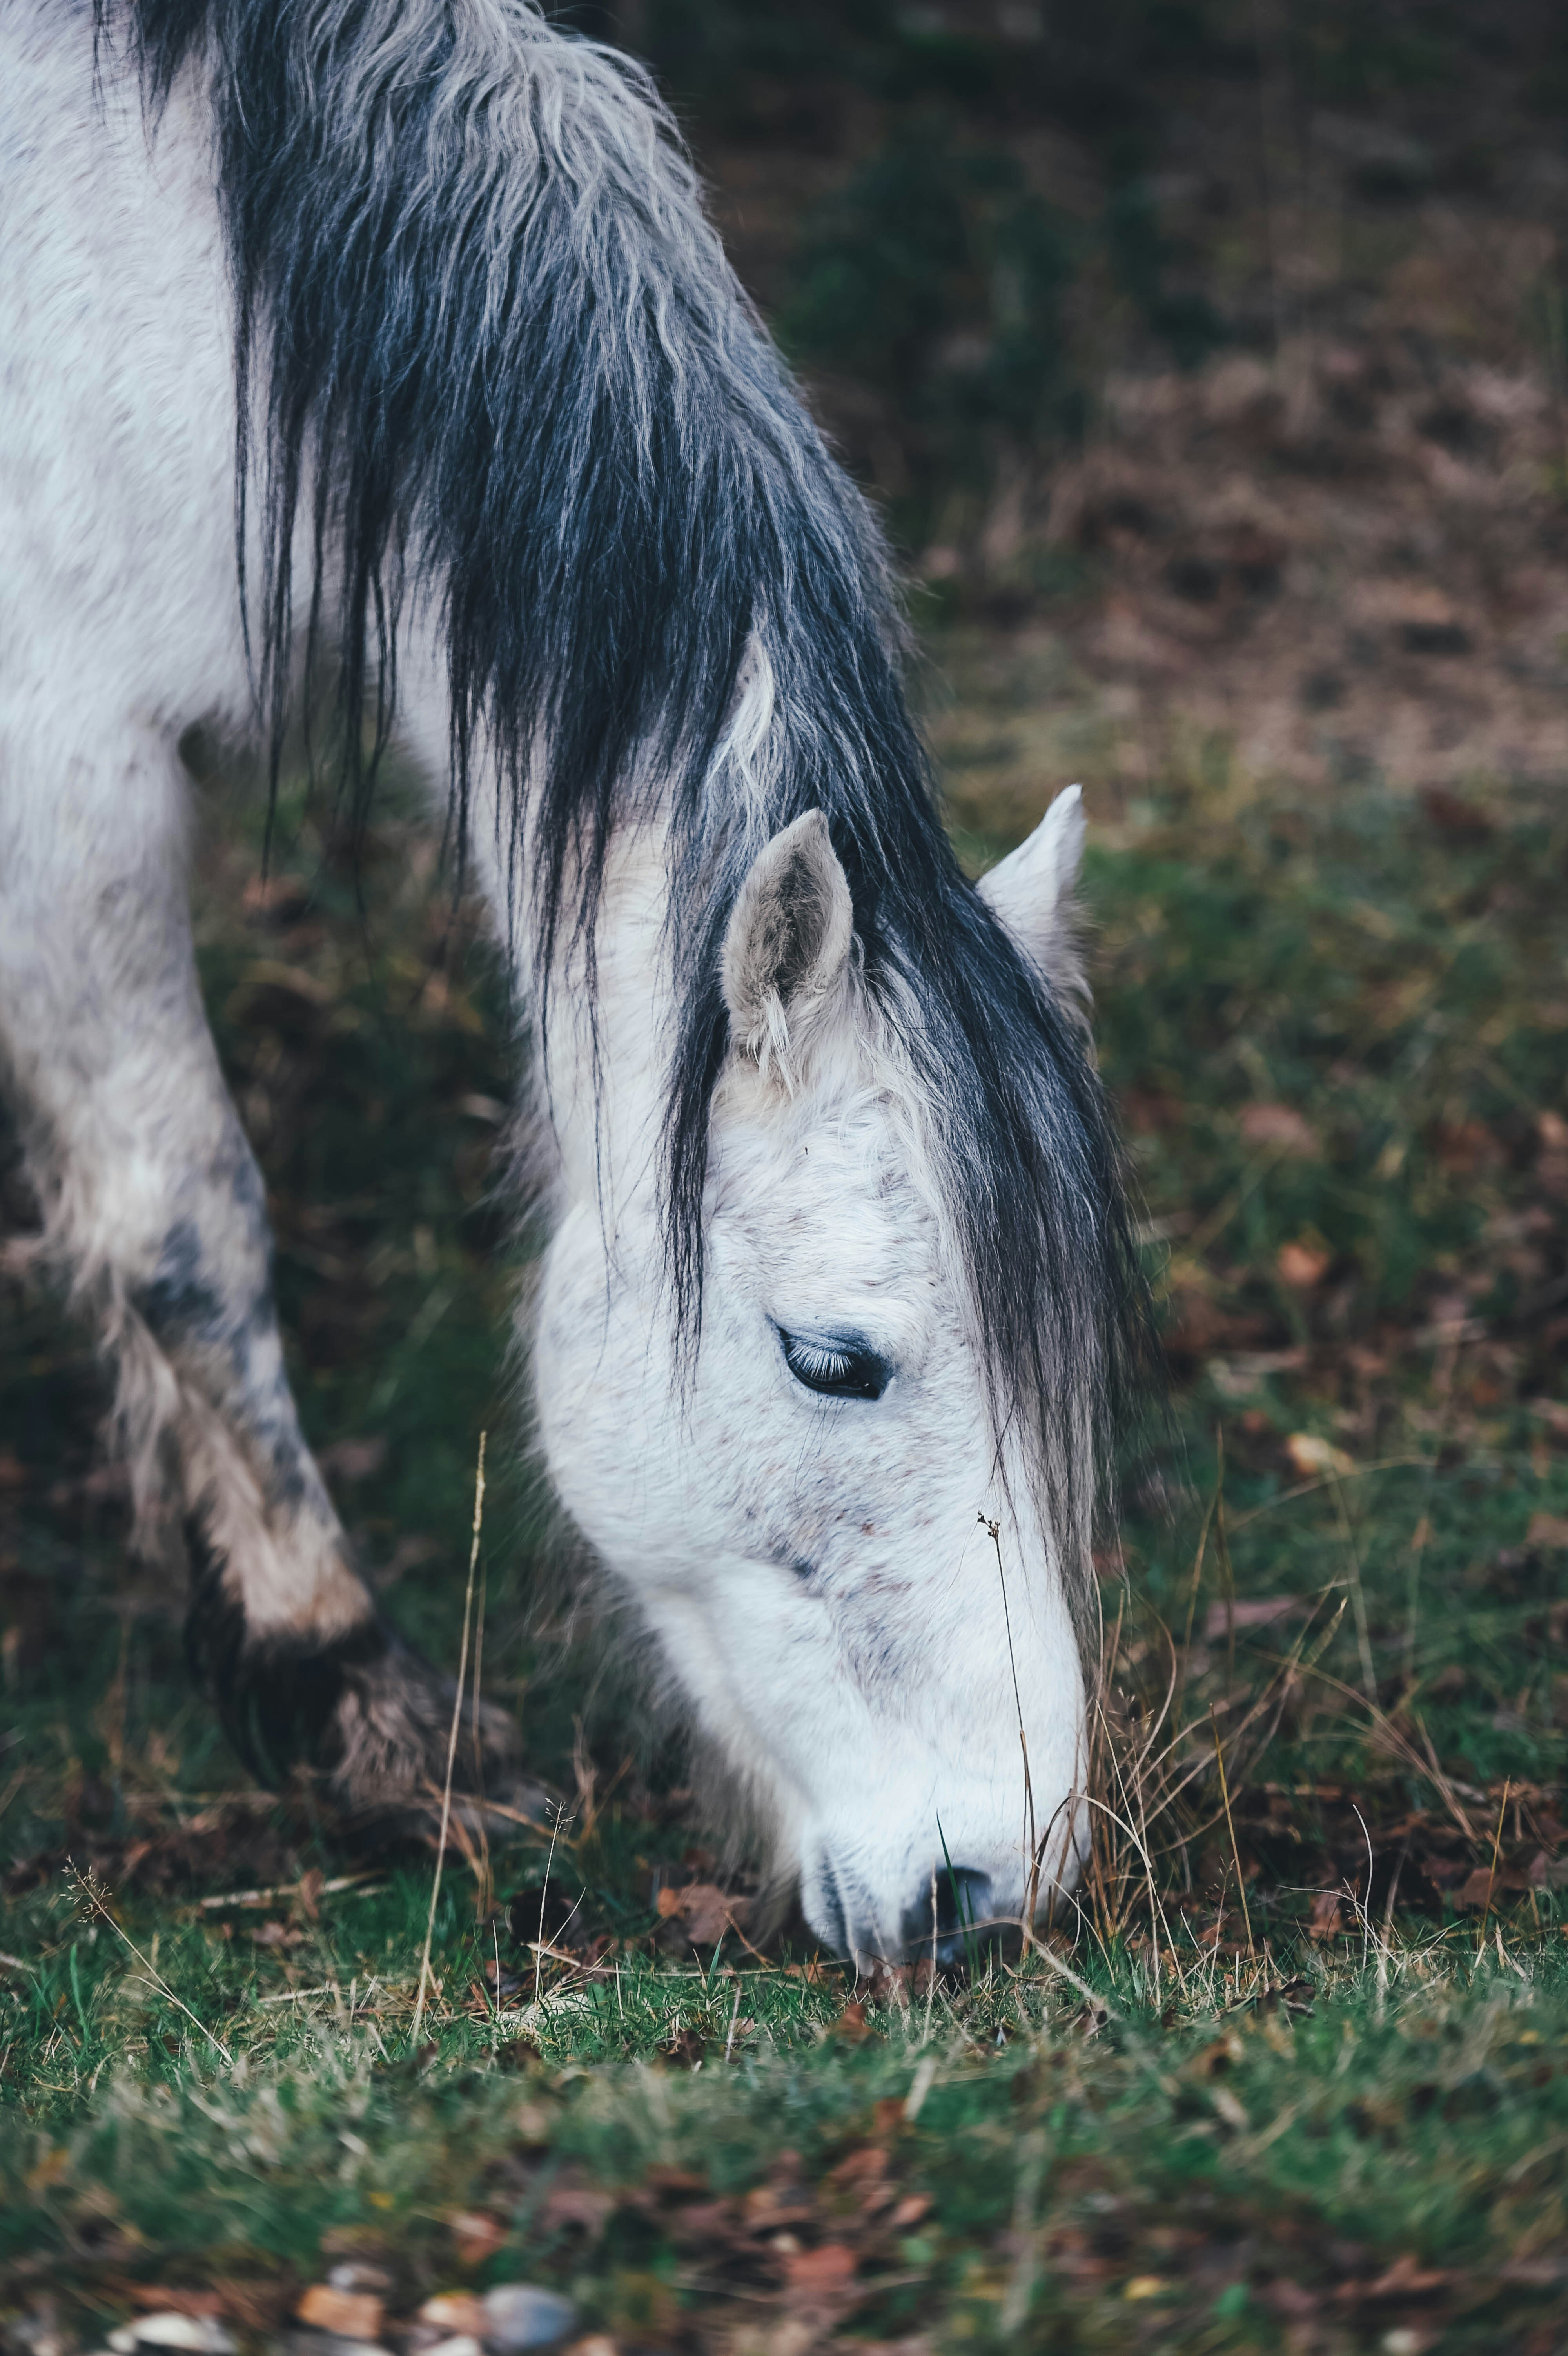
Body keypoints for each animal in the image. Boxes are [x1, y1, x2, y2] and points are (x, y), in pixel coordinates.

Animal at [0, 0, 1145, 1969]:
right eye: (834, 1359)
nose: (993, 1885)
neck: (163, 252)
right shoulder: (61, 765)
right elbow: (184, 1227)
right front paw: (354, 1696)